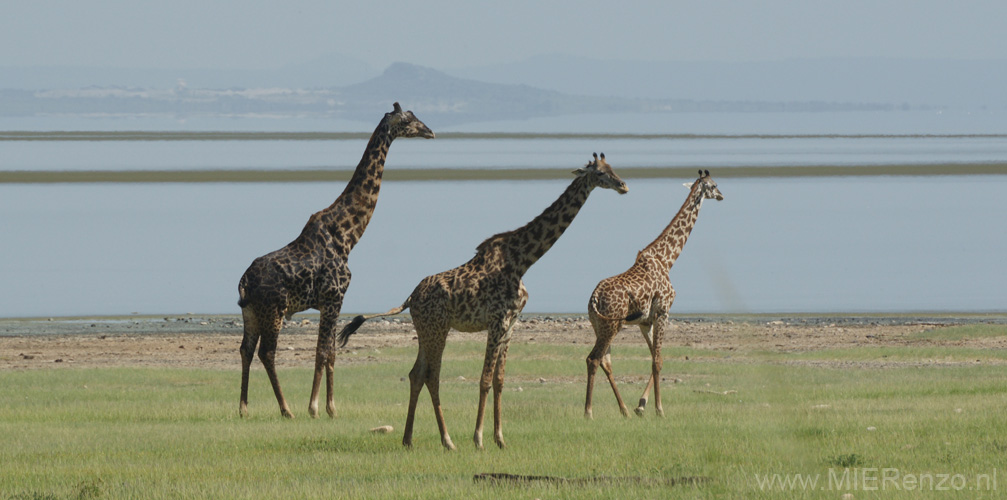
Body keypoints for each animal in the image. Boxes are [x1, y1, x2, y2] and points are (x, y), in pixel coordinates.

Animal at [239, 103, 437, 418]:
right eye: (409, 121)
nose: (430, 131)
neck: (347, 236)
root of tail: (244, 280)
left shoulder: (333, 302)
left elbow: (331, 352)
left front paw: (331, 407)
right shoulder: (333, 297)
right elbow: (323, 351)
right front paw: (316, 407)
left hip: (251, 312)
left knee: (245, 350)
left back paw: (244, 409)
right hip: (274, 310)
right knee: (266, 353)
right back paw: (286, 409)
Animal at [338, 152, 628, 448]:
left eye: (612, 168)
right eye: (601, 173)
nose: (624, 186)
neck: (522, 261)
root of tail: (410, 298)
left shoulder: (511, 324)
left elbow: (499, 380)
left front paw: (500, 438)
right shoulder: (497, 321)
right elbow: (485, 379)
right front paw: (478, 438)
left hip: (426, 330)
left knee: (416, 374)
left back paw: (408, 439)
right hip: (438, 329)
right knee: (432, 376)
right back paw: (447, 440)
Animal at [584, 170, 725, 418]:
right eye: (714, 185)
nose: (722, 196)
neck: (666, 259)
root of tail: (594, 298)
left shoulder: (645, 321)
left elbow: (655, 357)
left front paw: (641, 405)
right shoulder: (663, 311)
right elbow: (657, 360)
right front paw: (659, 409)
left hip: (599, 325)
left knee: (605, 362)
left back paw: (624, 410)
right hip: (612, 325)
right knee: (593, 359)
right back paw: (588, 412)